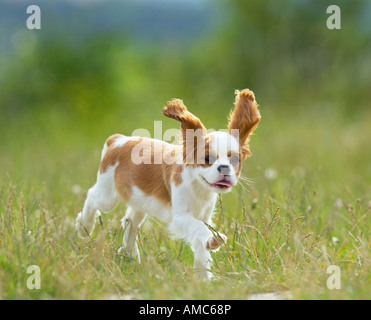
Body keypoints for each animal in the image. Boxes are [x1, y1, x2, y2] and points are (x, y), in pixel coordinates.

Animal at [75, 89, 262, 278]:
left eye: (235, 160)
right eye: (208, 159)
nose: (224, 168)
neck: (199, 186)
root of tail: (117, 140)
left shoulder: (204, 216)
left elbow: (201, 246)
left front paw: (203, 277)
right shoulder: (180, 217)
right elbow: (199, 228)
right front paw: (214, 241)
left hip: (139, 200)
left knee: (130, 221)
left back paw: (129, 255)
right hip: (108, 195)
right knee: (92, 197)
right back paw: (84, 227)